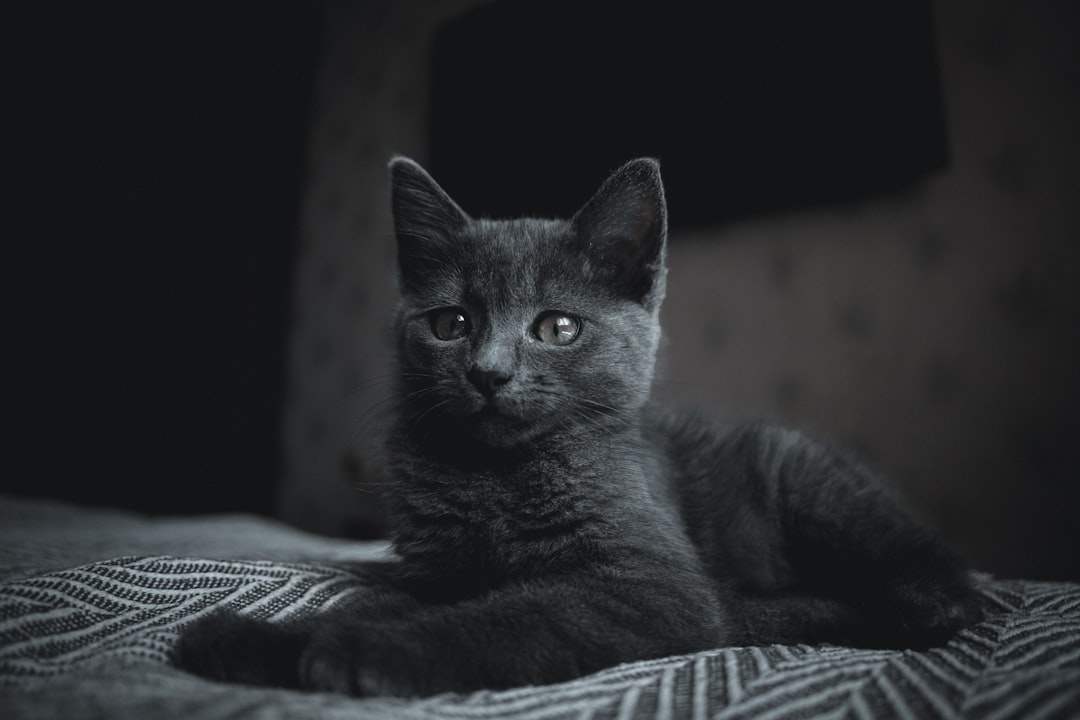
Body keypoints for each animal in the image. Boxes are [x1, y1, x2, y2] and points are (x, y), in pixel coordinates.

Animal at [179, 156, 989, 699]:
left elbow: (517, 614)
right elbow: (387, 595)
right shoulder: (438, 570)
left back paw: (914, 603)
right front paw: (255, 636)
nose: (489, 372)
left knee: (942, 571)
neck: (495, 479)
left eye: (558, 328)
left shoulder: (646, 584)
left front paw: (359, 651)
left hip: (806, 478)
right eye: (452, 324)